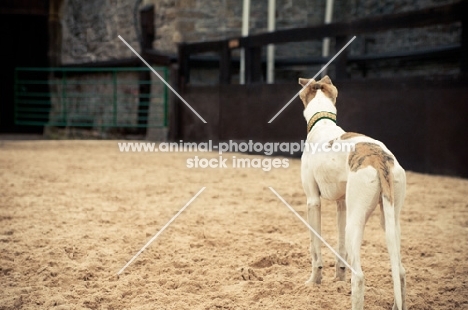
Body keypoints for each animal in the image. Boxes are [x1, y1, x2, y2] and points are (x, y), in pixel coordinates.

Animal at [300, 75, 406, 310]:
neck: (323, 124)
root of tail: (379, 158)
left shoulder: (313, 201)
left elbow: (315, 249)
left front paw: (314, 281)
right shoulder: (341, 203)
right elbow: (340, 251)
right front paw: (338, 279)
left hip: (355, 223)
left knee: (359, 277)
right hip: (390, 219)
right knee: (401, 271)